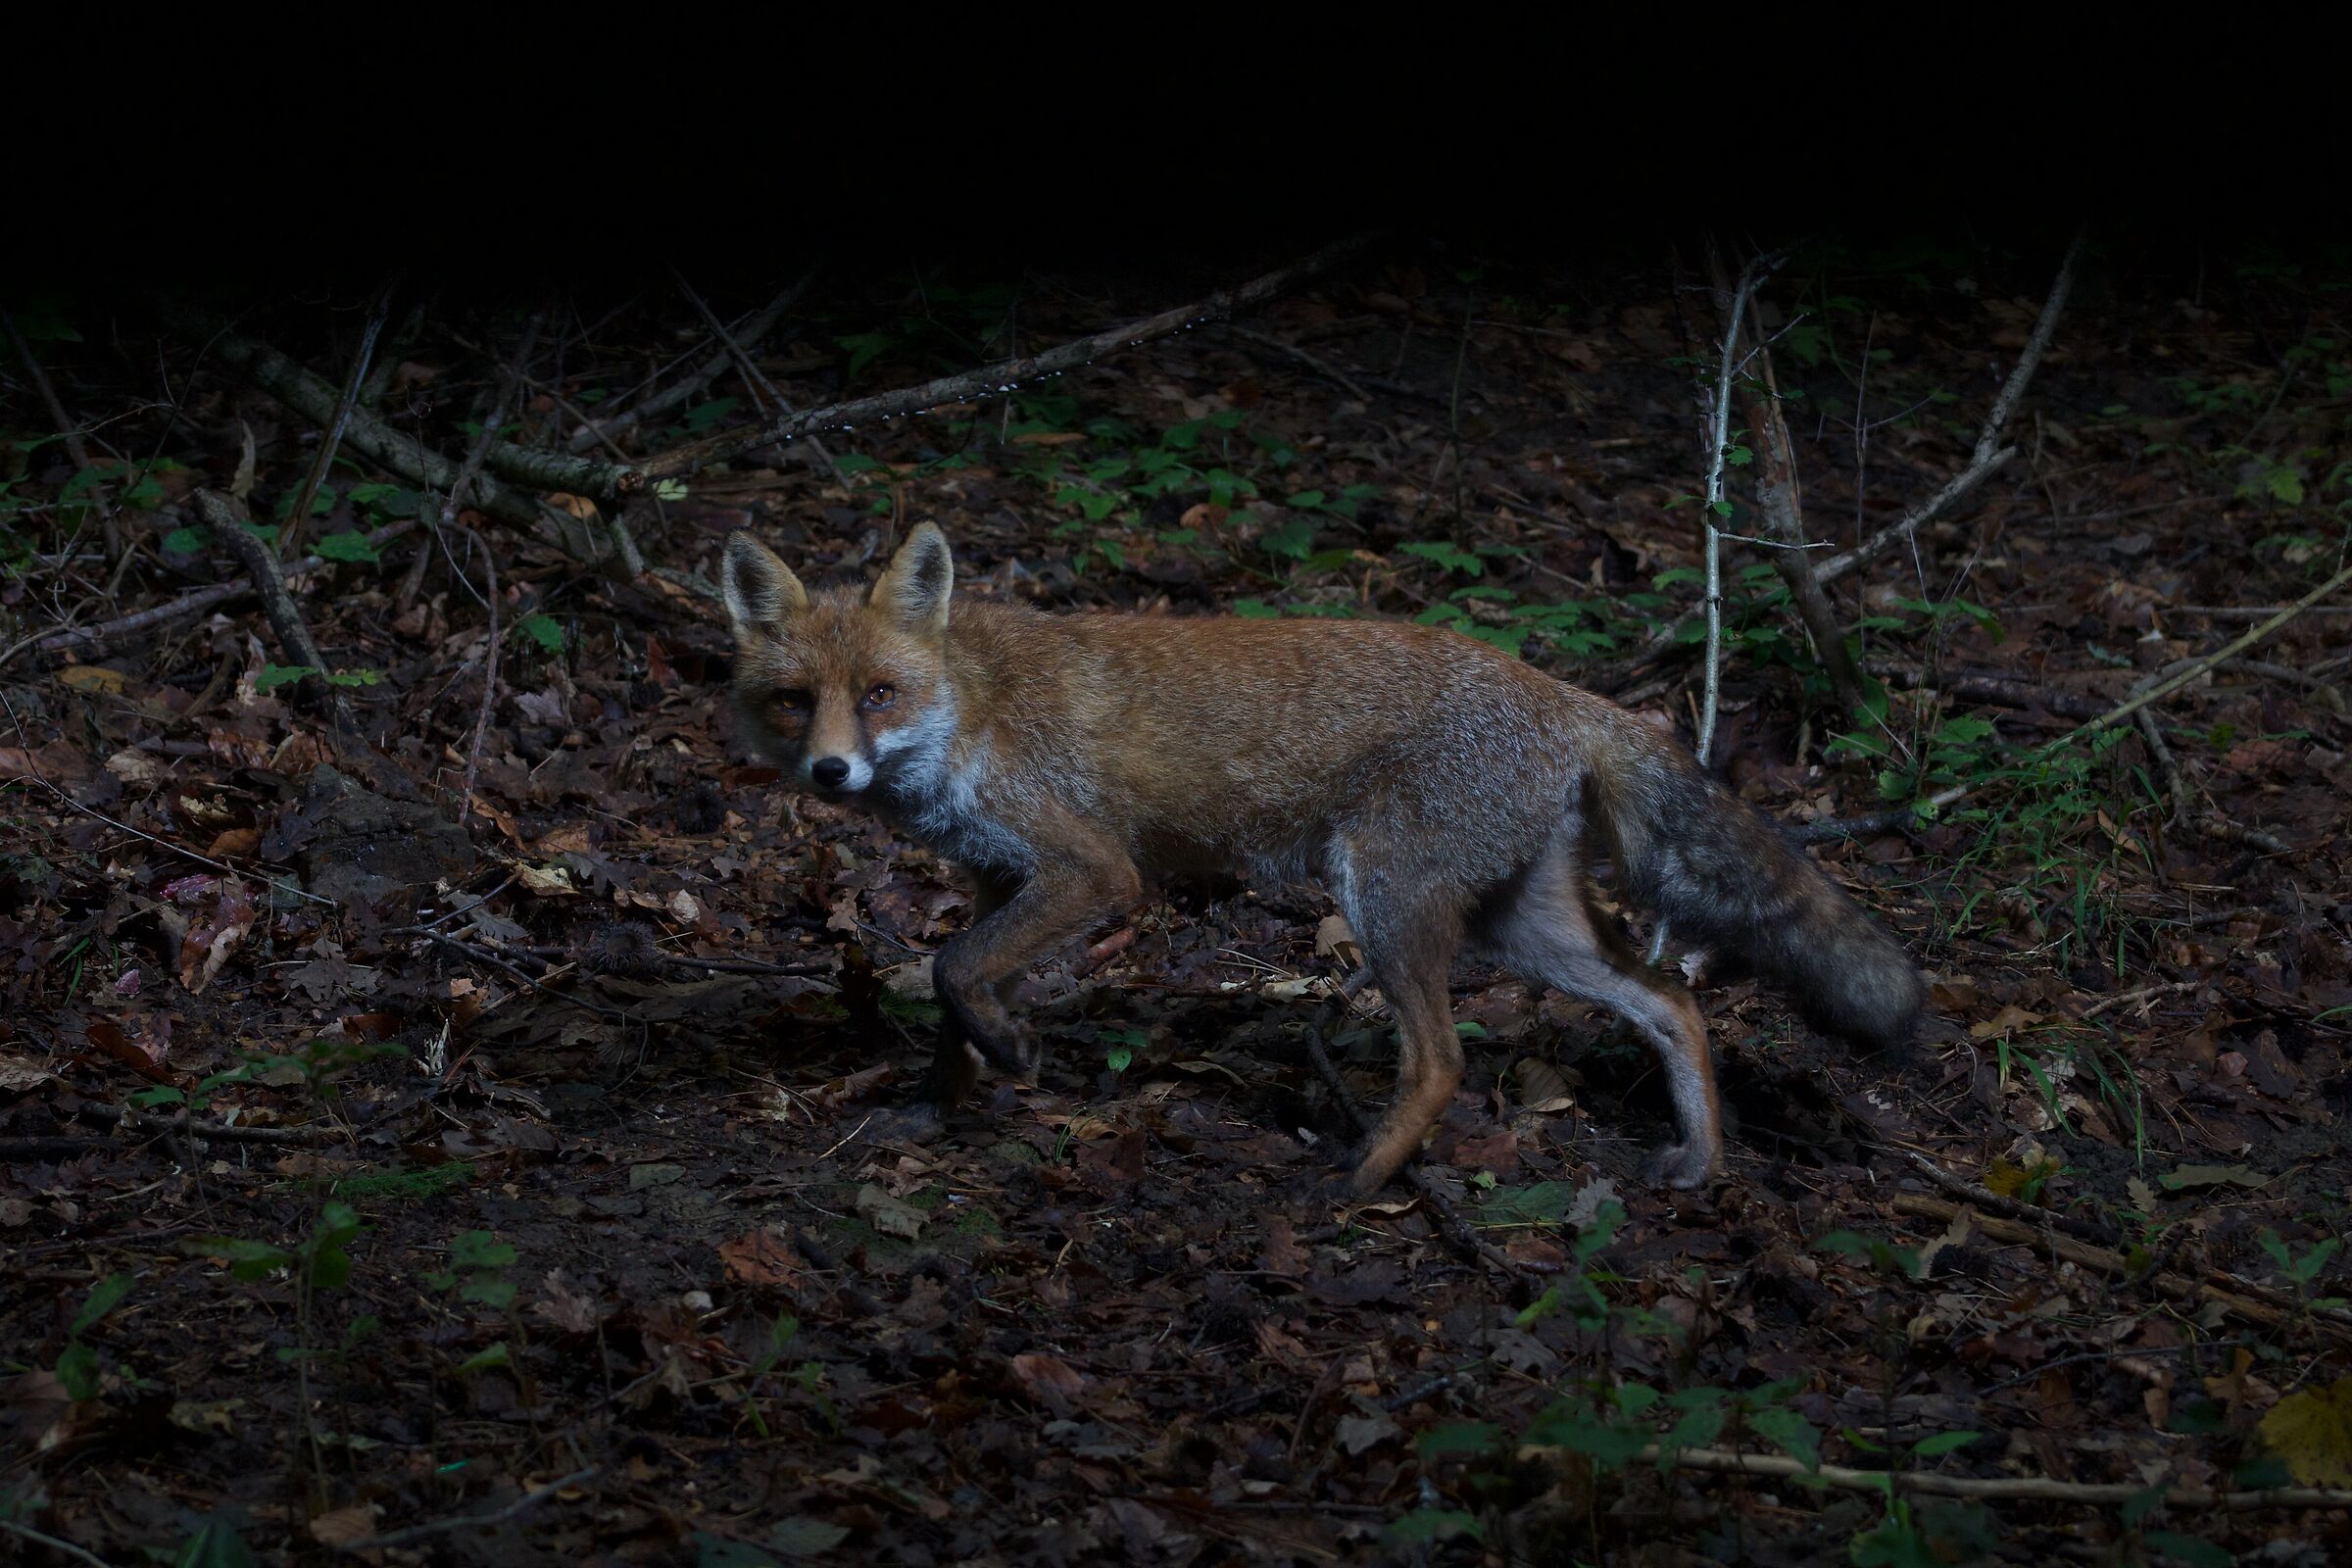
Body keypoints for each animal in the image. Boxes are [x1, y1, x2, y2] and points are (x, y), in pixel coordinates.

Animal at [718, 523, 1924, 1194]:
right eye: (794, 701)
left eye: (880, 693)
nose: (830, 770)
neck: (968, 707)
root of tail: (1567, 694)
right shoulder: (994, 876)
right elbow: (953, 998)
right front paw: (939, 1109)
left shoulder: (1092, 869)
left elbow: (951, 970)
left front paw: (1010, 1053)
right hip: (1523, 930)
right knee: (1674, 1003)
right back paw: (1700, 1163)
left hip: (1384, 899)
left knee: (1441, 1063)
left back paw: (1355, 1181)